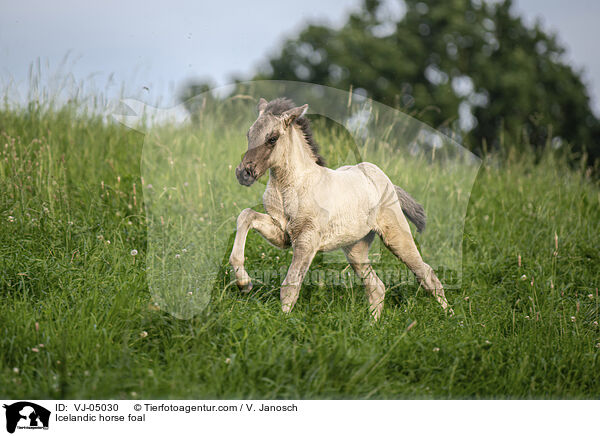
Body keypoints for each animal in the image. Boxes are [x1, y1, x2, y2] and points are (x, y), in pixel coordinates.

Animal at [230, 97, 450, 318]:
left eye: (272, 138)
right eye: (249, 134)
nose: (243, 173)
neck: (292, 187)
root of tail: (386, 182)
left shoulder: (307, 240)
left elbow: (290, 285)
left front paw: (282, 321)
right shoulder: (281, 233)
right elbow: (246, 215)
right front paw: (244, 283)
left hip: (397, 237)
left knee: (426, 275)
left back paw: (451, 317)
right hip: (356, 249)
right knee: (376, 287)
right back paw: (372, 324)